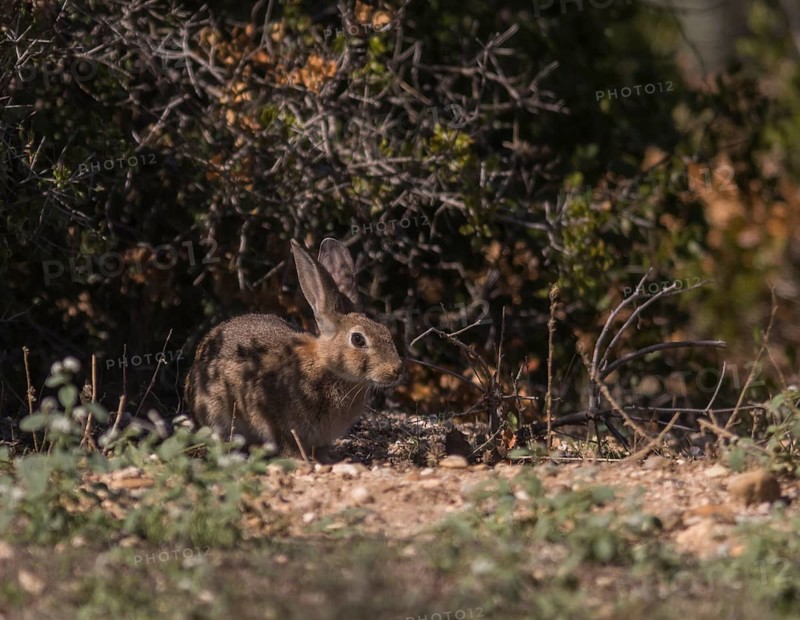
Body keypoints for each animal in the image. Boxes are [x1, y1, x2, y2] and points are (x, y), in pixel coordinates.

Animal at [184, 238, 403, 462]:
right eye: (358, 339)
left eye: (385, 331)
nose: (397, 369)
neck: (327, 368)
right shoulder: (272, 417)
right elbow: (285, 442)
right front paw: (300, 460)